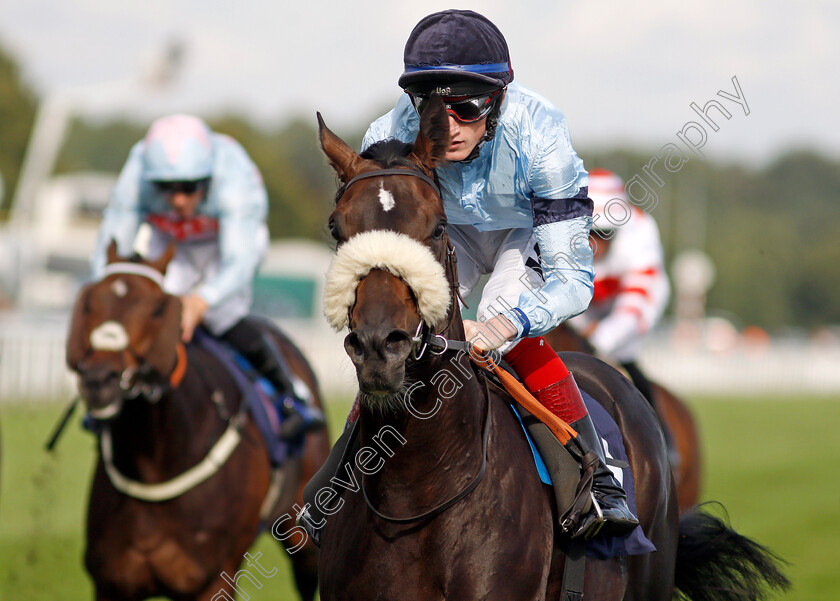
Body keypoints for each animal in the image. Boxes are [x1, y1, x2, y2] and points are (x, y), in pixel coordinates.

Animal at [66, 244, 328, 600]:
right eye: (89, 302)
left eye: (158, 309)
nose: (98, 380)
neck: (154, 464)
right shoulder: (110, 583)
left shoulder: (213, 580)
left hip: (304, 536)